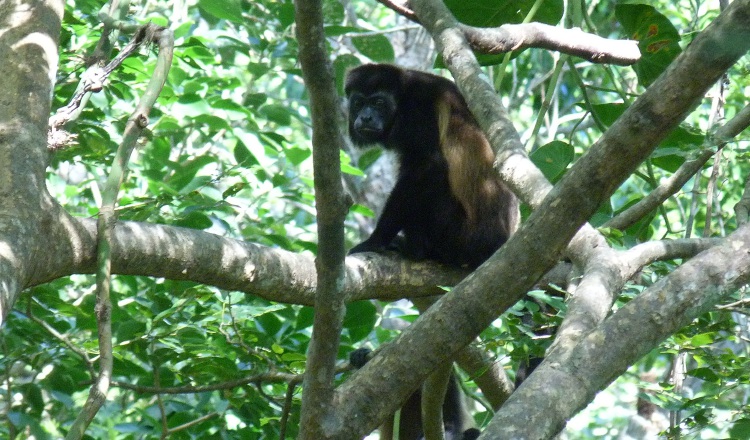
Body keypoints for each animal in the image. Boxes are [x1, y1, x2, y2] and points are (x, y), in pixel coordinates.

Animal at [346, 62, 516, 268]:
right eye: (358, 103)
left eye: (378, 103)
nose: (365, 117)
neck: (403, 96)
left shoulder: (418, 110)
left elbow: (429, 166)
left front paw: (375, 241)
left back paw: (417, 249)